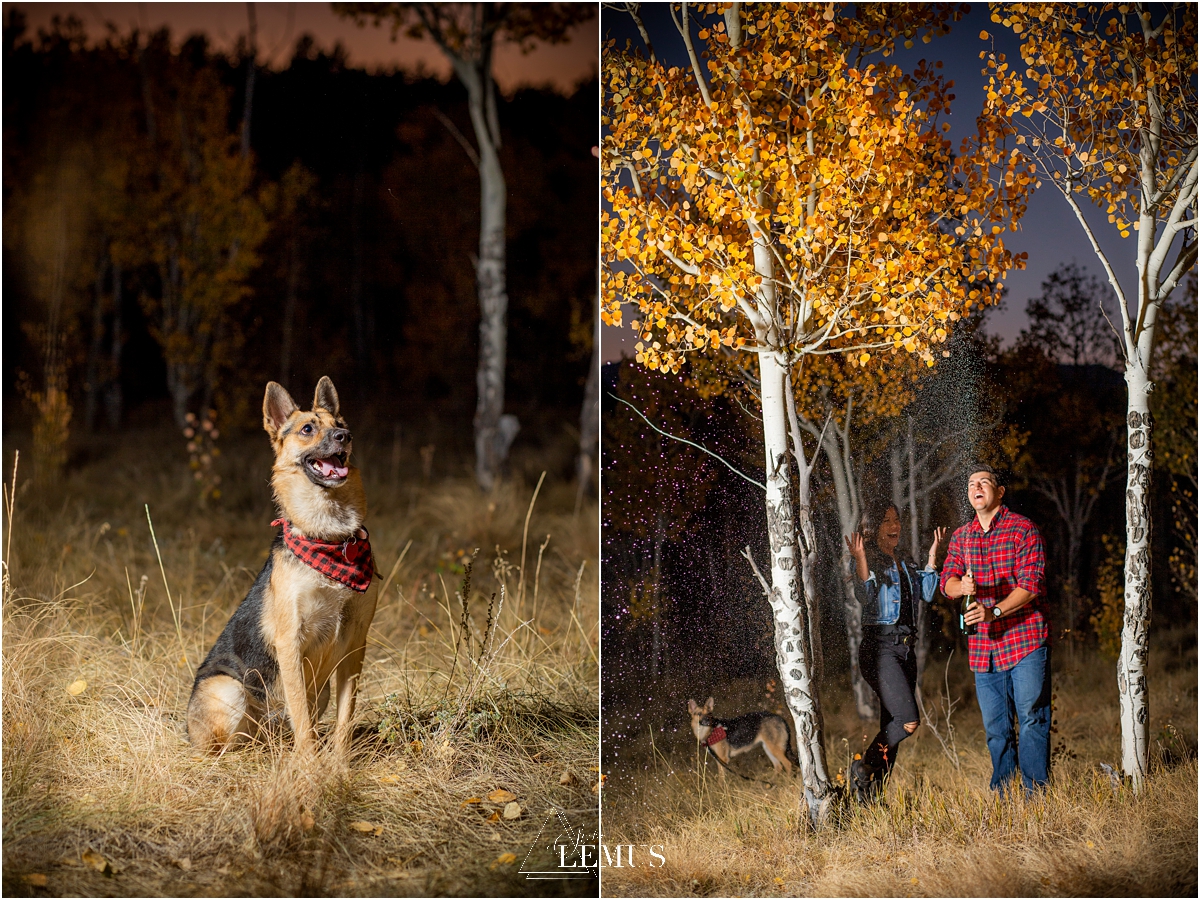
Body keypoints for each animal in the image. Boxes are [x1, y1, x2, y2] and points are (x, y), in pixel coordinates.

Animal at [187, 376, 376, 758]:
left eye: (341, 424)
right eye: (307, 429)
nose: (345, 437)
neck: (329, 536)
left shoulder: (355, 645)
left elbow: (344, 718)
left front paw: (340, 763)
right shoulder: (291, 643)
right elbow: (300, 716)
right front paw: (310, 766)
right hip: (230, 690)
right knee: (227, 747)